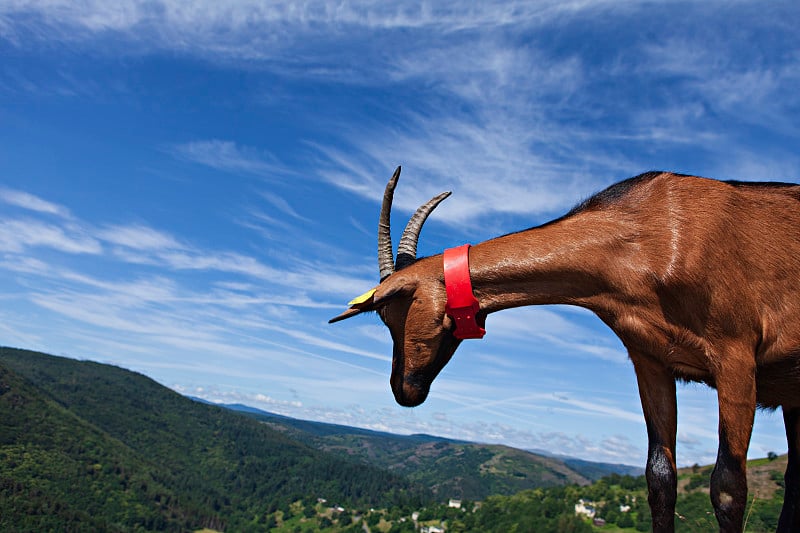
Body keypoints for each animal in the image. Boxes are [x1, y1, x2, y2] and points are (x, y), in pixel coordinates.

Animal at [328, 167, 800, 532]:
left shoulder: (735, 357)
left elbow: (728, 487)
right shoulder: (651, 362)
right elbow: (660, 479)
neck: (653, 236)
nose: (402, 388)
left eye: (392, 310)